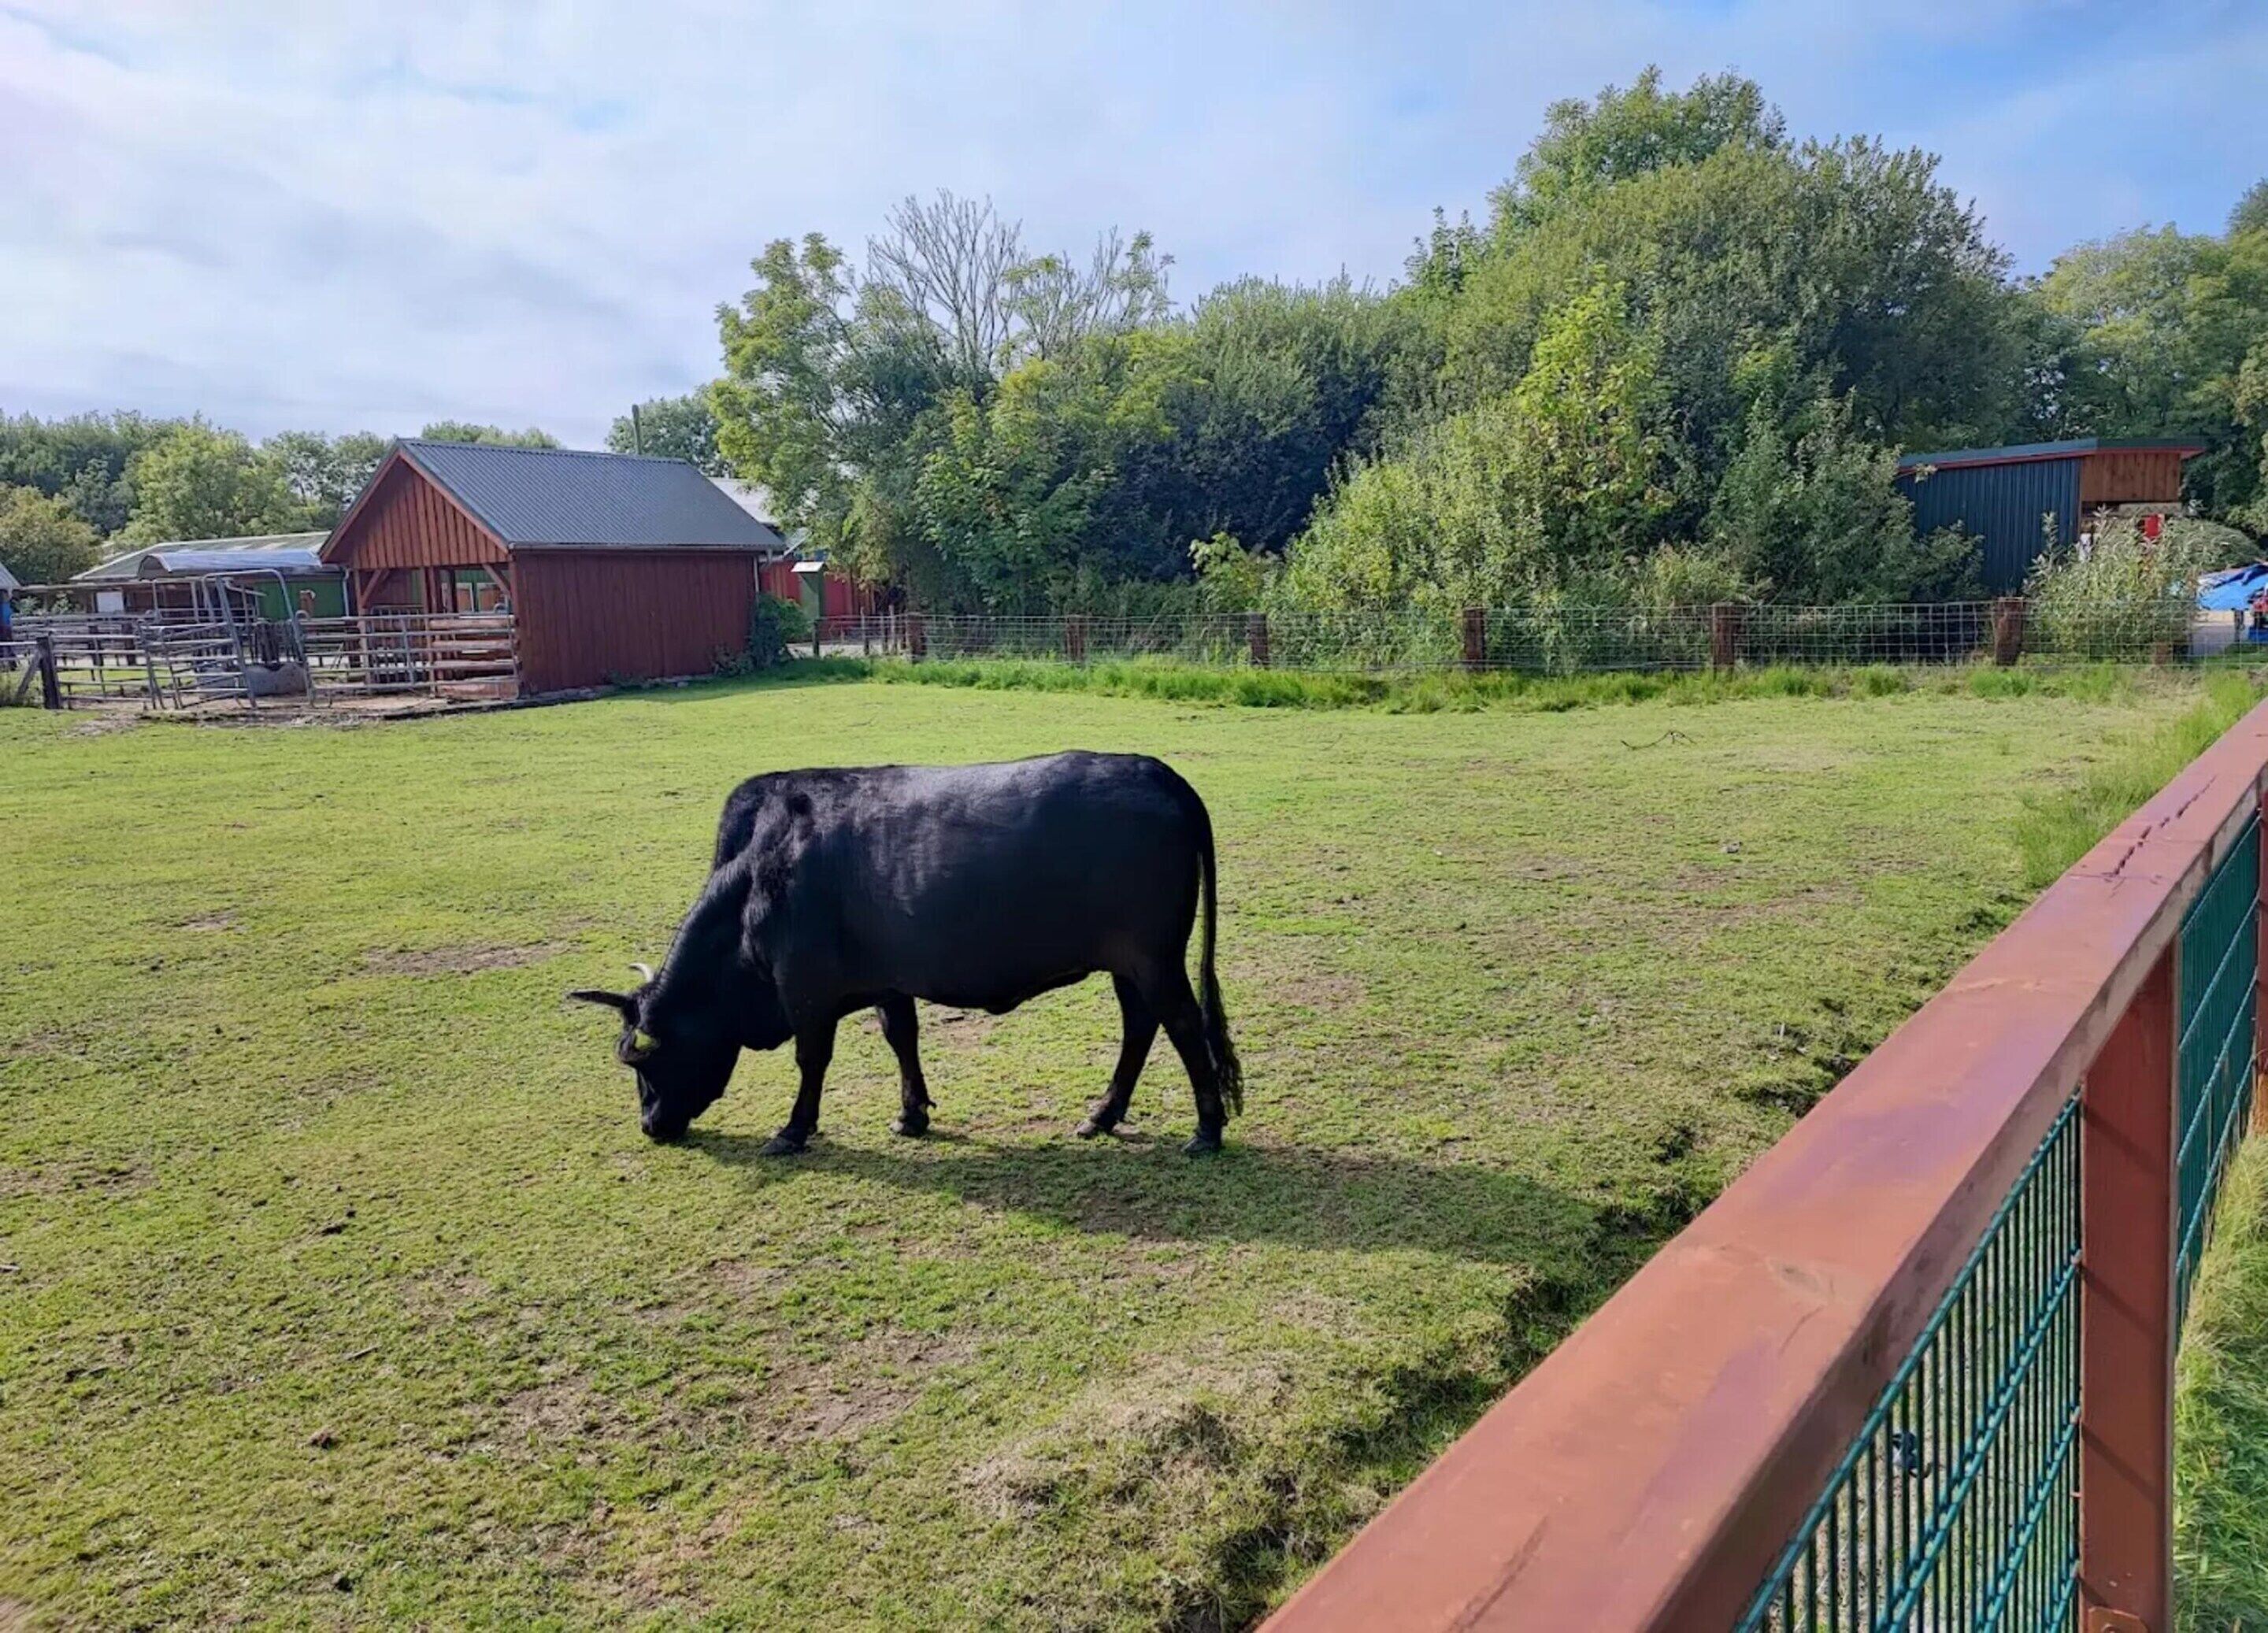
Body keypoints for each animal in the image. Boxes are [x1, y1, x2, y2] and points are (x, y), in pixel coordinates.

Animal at [568, 751, 1242, 1155]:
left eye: (644, 1061)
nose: (651, 1126)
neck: (754, 880)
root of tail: (1157, 772)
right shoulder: (888, 980)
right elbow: (902, 1037)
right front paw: (912, 1113)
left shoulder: (805, 989)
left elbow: (812, 1060)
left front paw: (793, 1129)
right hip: (1130, 963)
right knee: (1141, 1028)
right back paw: (1103, 1114)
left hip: (1153, 958)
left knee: (1182, 1026)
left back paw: (1207, 1128)